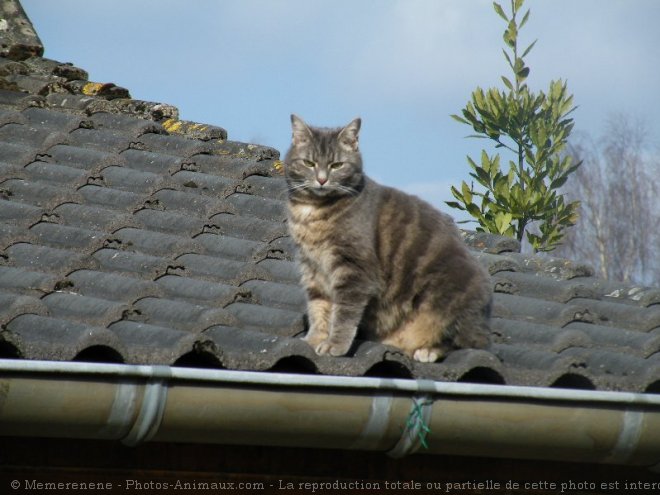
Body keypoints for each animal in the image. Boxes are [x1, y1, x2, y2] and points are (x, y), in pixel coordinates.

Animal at [282, 116, 490, 364]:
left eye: (336, 165)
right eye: (309, 163)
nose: (322, 180)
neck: (313, 209)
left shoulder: (354, 270)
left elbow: (344, 313)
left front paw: (335, 344)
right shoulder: (311, 268)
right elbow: (318, 307)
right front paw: (313, 339)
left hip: (448, 296)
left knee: (463, 342)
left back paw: (428, 350)